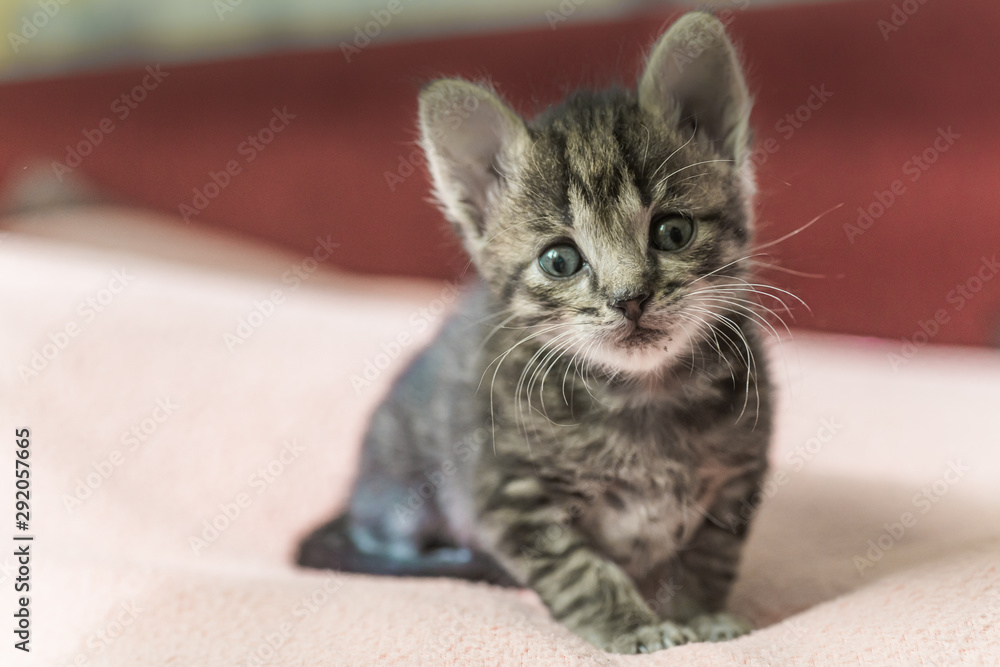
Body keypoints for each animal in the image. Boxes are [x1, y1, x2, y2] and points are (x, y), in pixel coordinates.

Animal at [296, 13, 772, 656]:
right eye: (560, 260)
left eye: (673, 231)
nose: (630, 298)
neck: (640, 396)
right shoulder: (507, 493)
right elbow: (579, 570)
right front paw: (635, 627)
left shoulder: (738, 478)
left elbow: (710, 555)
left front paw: (702, 616)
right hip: (401, 490)